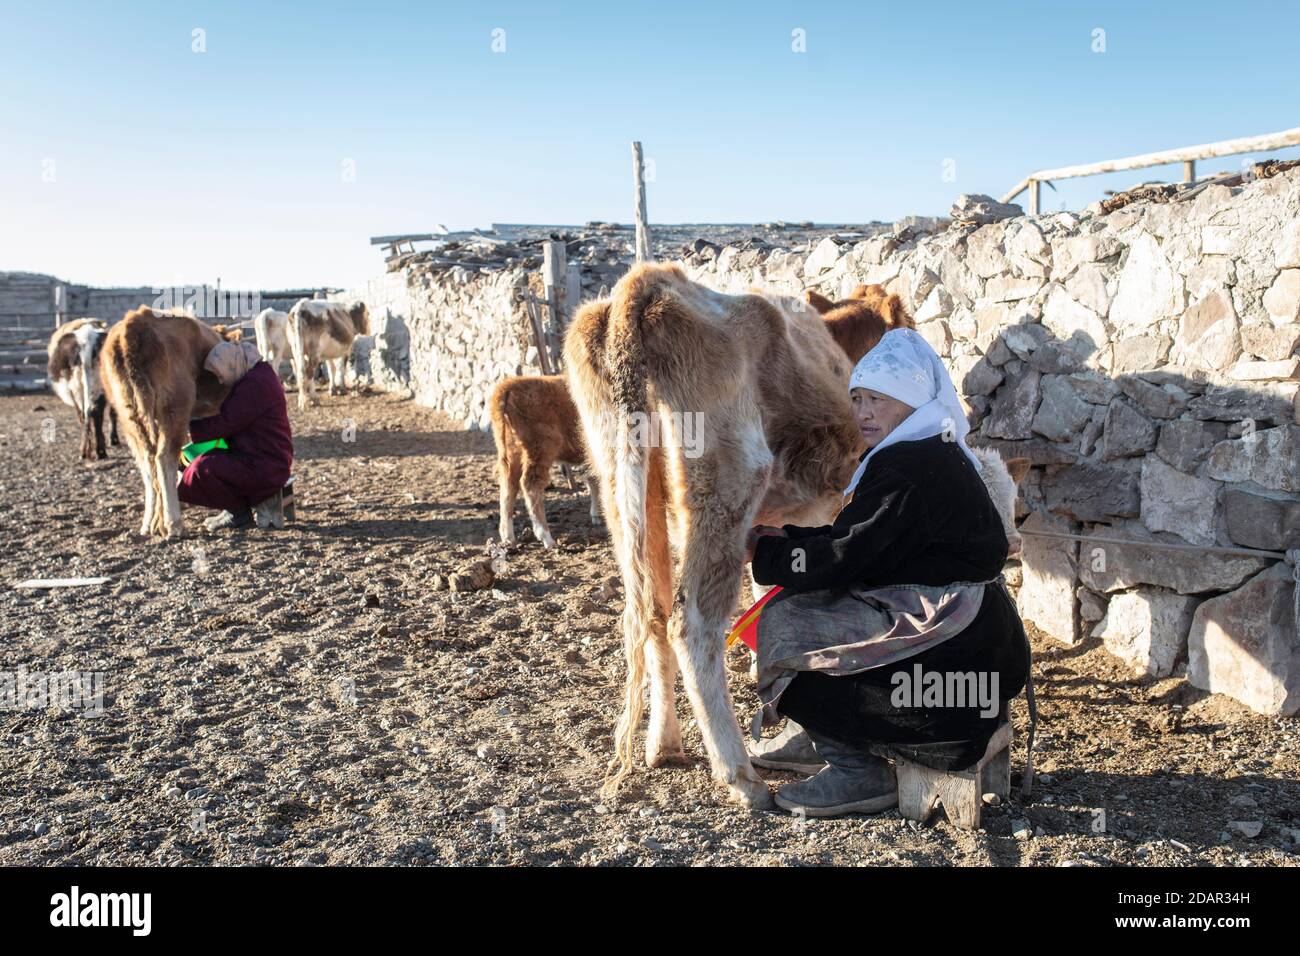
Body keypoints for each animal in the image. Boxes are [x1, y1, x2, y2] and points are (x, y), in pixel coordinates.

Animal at [104, 312, 233, 541]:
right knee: (164, 459)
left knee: (148, 464)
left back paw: (149, 524)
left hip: (131, 417)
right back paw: (174, 524)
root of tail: (136, 323)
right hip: (174, 411)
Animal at [488, 374, 600, 554]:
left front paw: (597, 515)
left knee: (508, 487)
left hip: (510, 454)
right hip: (542, 448)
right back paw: (546, 537)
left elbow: (593, 482)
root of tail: (508, 386)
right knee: (530, 484)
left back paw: (508, 537)